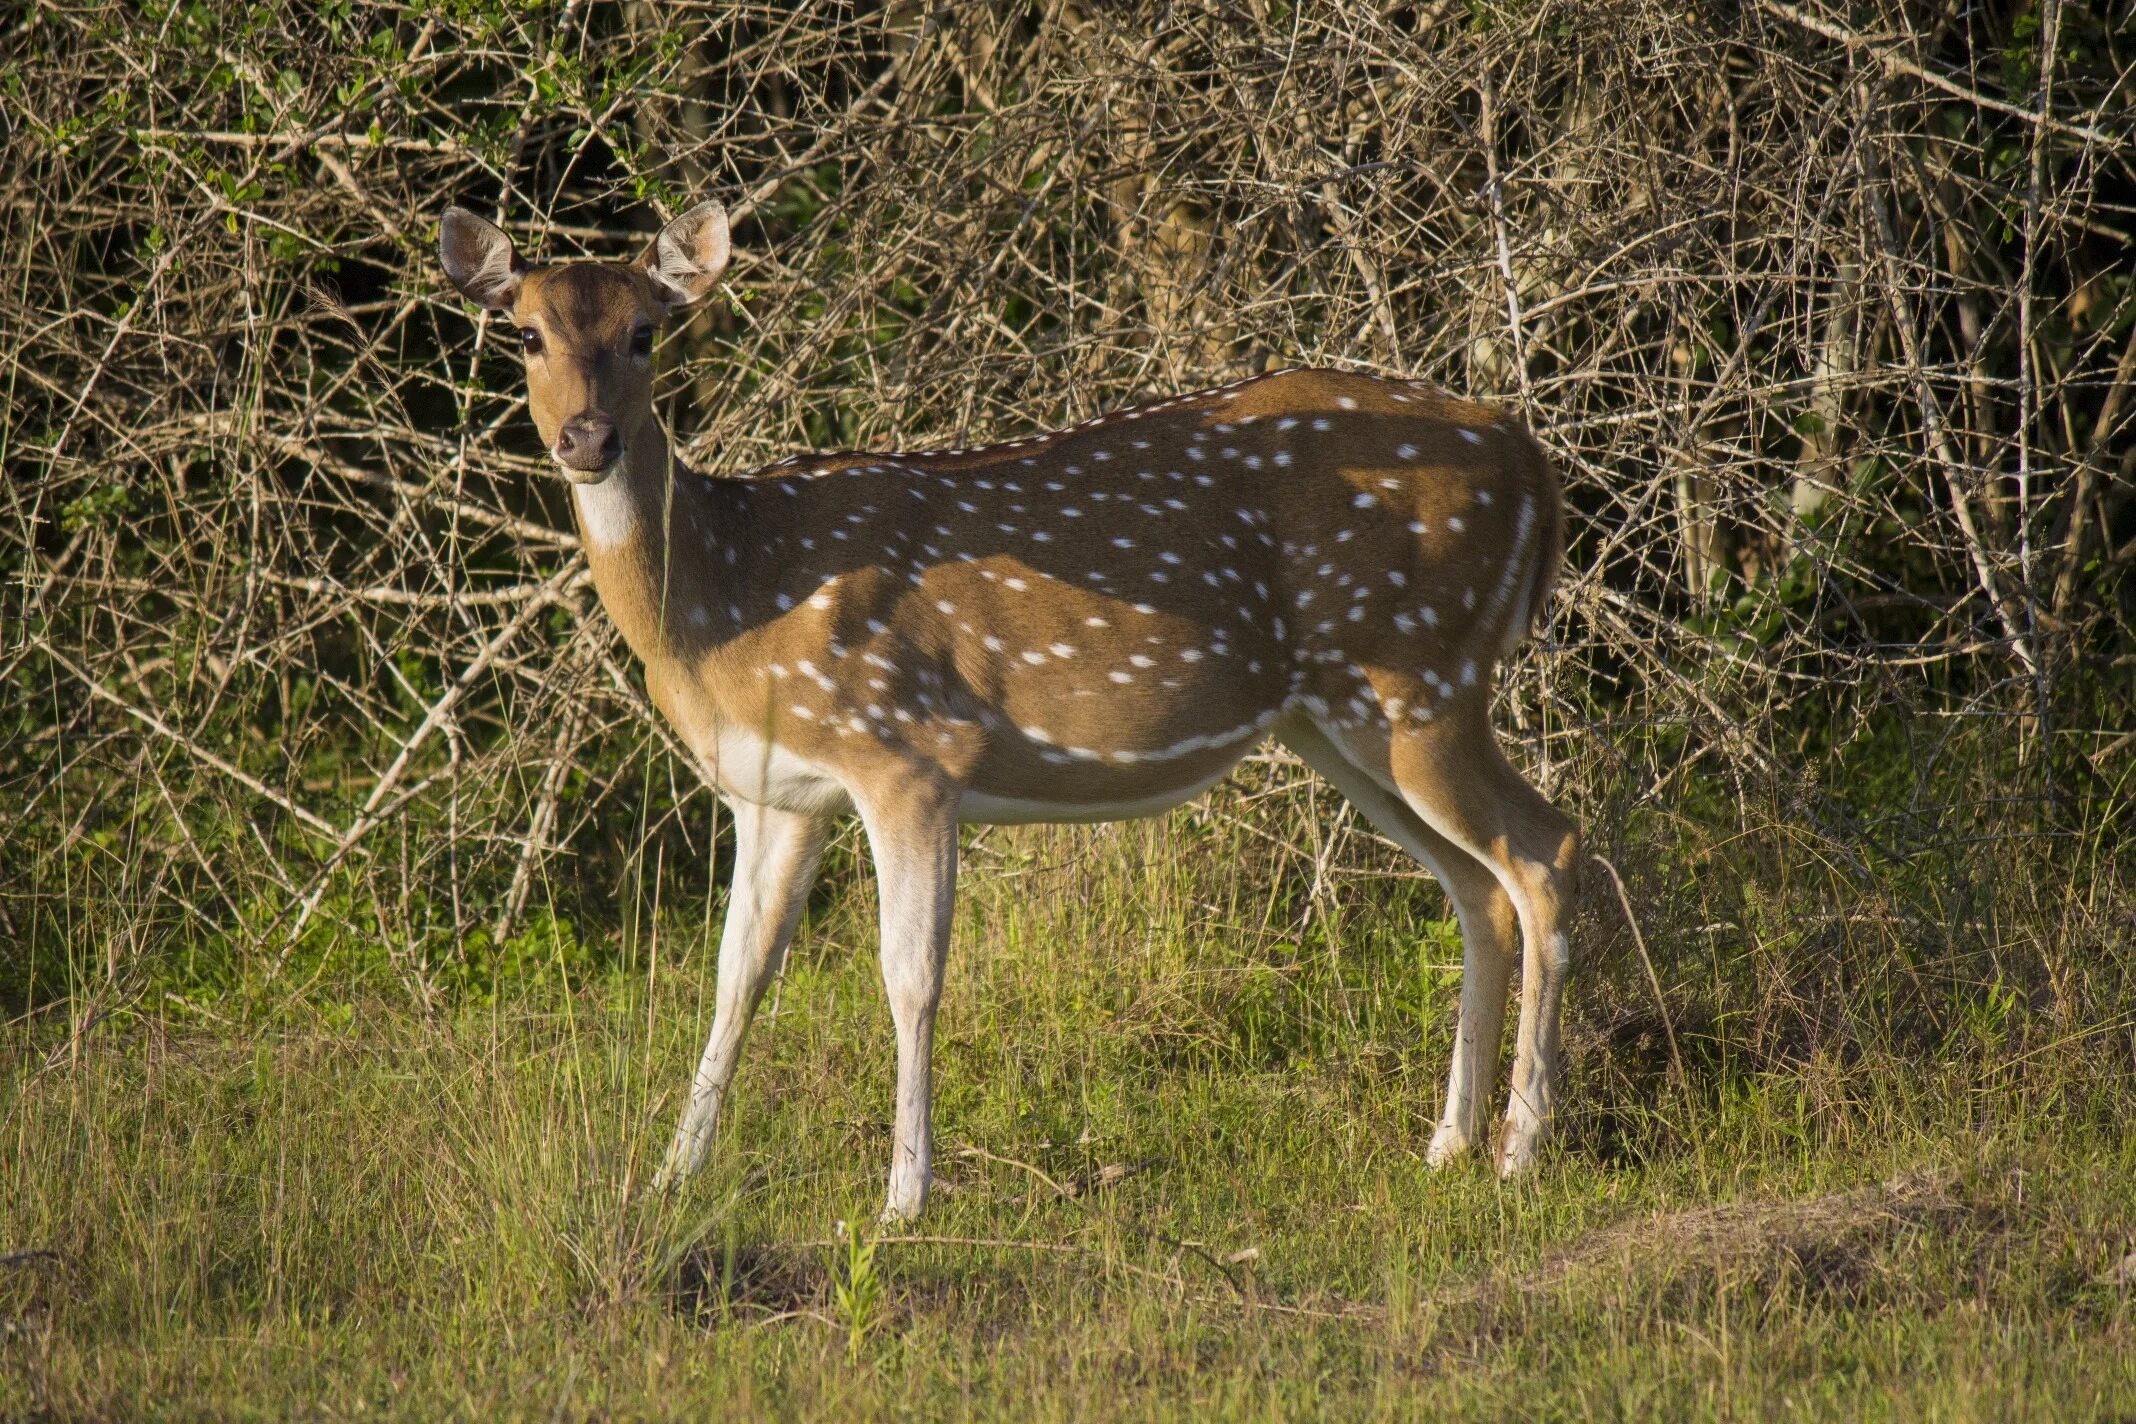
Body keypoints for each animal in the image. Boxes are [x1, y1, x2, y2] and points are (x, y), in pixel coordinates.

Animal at [442, 202, 1589, 1229]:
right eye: (525, 332)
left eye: (646, 331)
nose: (587, 437)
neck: (729, 602)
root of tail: (1532, 456)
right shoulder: (778, 793)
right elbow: (735, 979)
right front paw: (670, 1178)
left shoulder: (907, 751)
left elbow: (909, 977)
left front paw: (903, 1199)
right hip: (1344, 719)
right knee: (1475, 888)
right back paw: (1447, 1143)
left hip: (1422, 673)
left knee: (1545, 852)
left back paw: (1521, 1149)